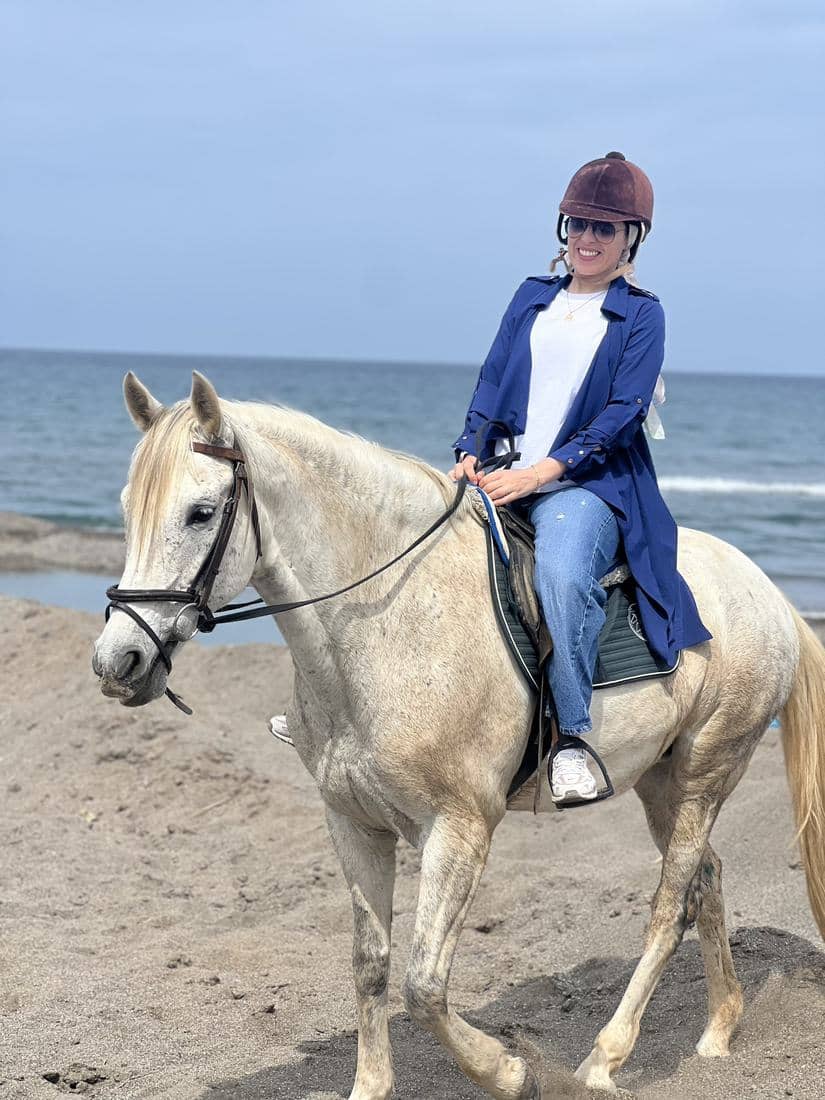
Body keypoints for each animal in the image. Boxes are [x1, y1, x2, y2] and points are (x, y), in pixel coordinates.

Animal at [92, 370, 825, 1098]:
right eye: (127, 507)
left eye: (200, 513)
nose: (118, 662)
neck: (392, 621)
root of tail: (765, 591)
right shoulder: (353, 823)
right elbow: (371, 964)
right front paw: (371, 1086)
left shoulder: (459, 828)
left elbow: (422, 985)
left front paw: (507, 1071)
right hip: (660, 783)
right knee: (707, 879)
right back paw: (718, 1030)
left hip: (706, 773)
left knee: (670, 906)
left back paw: (603, 1059)